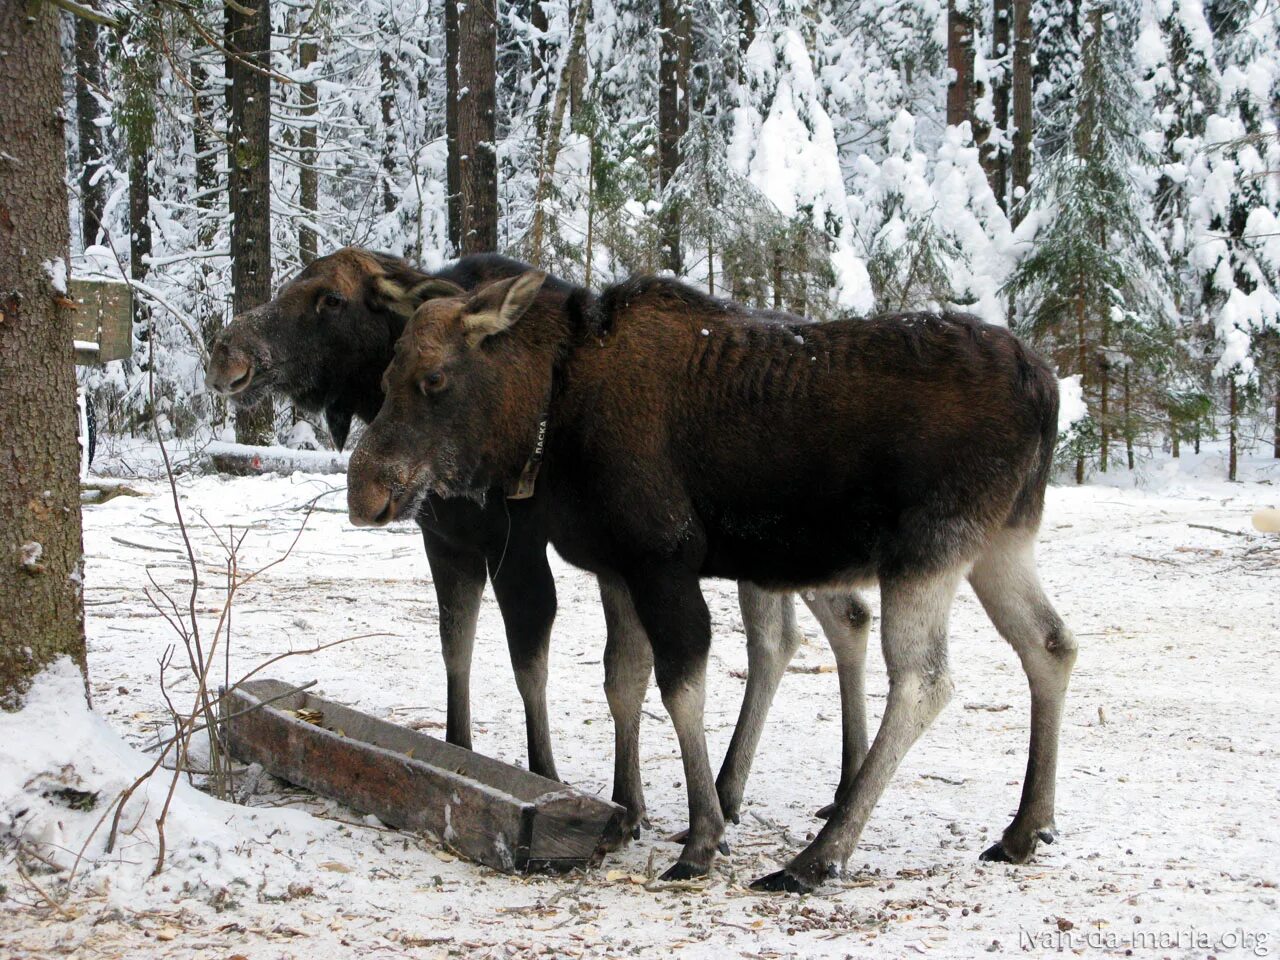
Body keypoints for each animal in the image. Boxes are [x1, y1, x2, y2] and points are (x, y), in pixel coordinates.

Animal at [204, 252, 875, 844]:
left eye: (331, 299)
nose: (225, 349)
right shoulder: (447, 542)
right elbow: (459, 649)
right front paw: (458, 750)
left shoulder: (521, 544)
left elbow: (531, 660)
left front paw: (548, 776)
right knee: (812, 628)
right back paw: (766, 787)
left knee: (815, 628)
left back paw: (799, 789)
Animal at [345, 267, 1075, 890]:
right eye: (383, 375)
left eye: (434, 379)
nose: (364, 492)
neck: (550, 416)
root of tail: (1047, 389)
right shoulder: (618, 565)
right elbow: (623, 680)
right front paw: (627, 810)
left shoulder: (663, 557)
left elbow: (681, 687)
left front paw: (702, 838)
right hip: (1000, 541)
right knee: (1051, 644)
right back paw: (1025, 827)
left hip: (926, 550)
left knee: (924, 680)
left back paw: (818, 858)